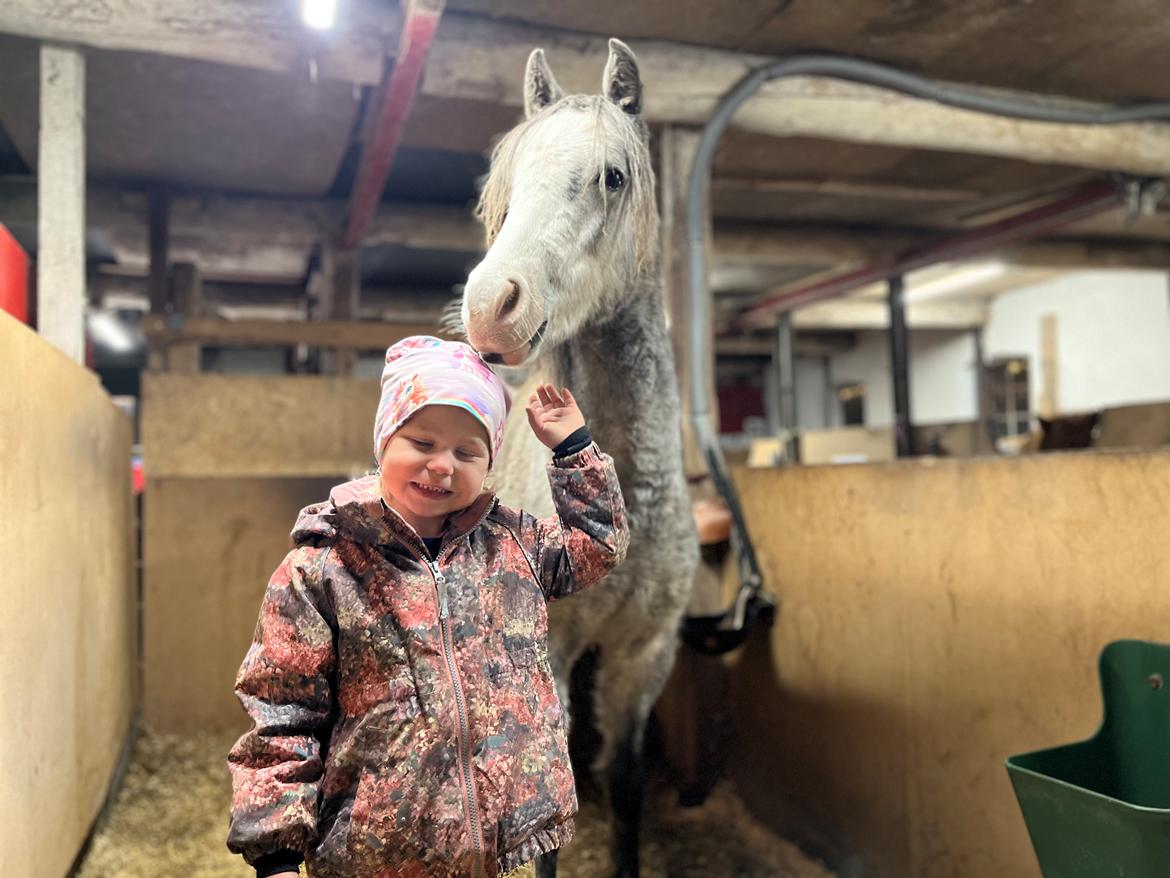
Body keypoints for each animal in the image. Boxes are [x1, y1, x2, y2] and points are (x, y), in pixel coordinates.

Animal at [460, 38, 699, 878]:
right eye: (507, 188)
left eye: (613, 176)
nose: (489, 305)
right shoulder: (549, 657)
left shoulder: (644, 656)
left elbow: (625, 785)